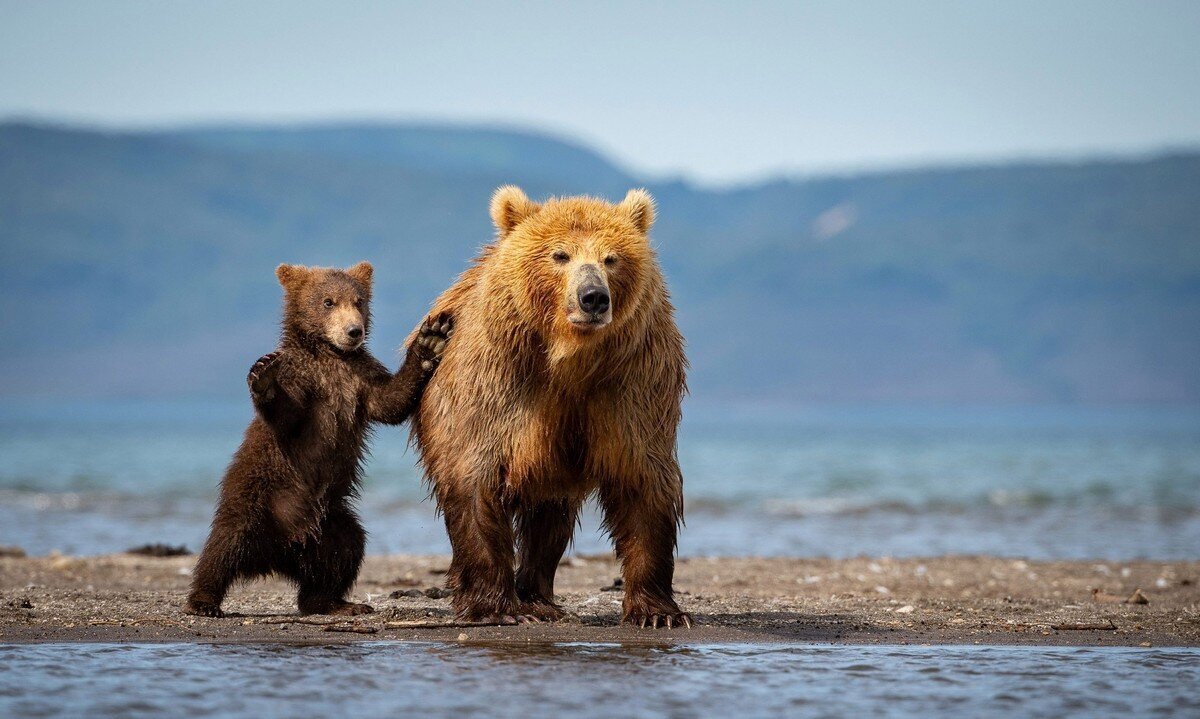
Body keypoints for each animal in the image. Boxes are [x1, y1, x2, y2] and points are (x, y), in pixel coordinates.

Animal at [415, 187, 691, 628]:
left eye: (611, 257)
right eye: (560, 254)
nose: (593, 297)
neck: (570, 358)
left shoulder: (631, 381)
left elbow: (642, 477)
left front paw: (656, 611)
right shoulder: (500, 378)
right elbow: (475, 477)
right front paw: (495, 607)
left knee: (549, 516)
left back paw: (538, 597)